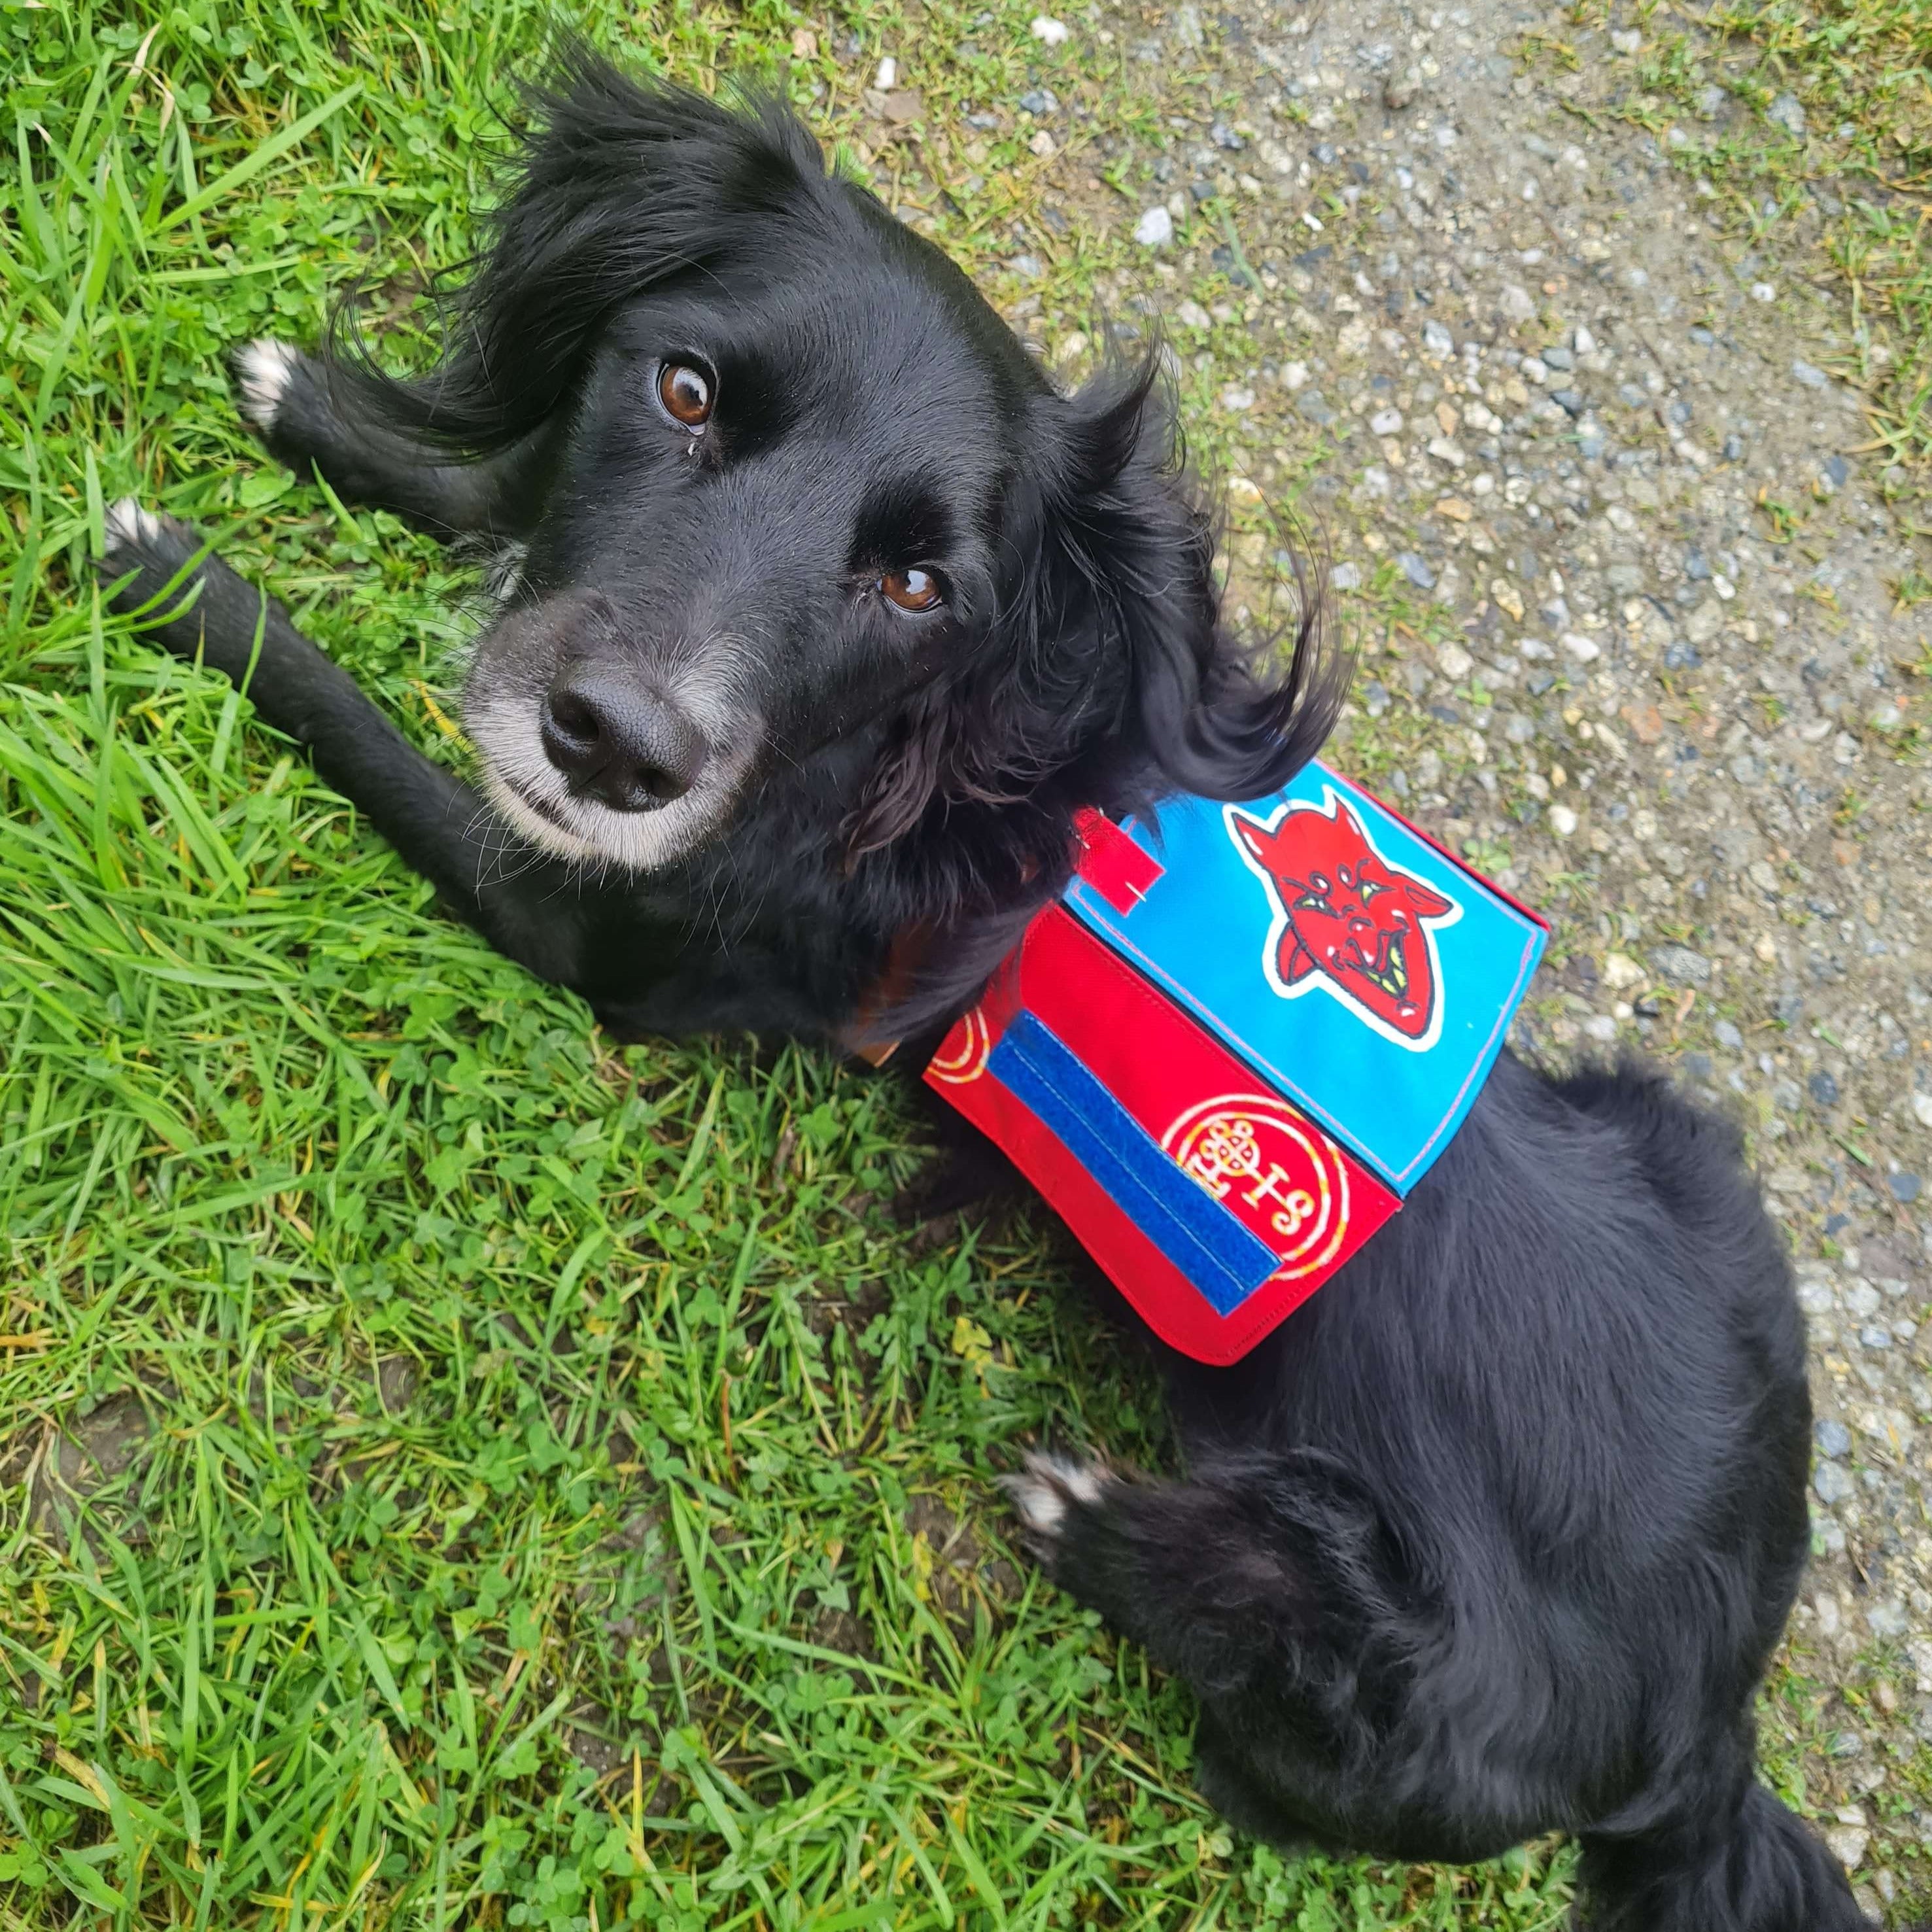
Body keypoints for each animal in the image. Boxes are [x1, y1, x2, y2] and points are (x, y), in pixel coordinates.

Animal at [105, 52, 1886, 1932]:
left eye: (915, 581)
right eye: (681, 389)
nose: (615, 748)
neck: (914, 746)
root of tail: (1715, 1725)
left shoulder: (587, 925)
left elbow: (352, 713)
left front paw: (180, 578)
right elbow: (512, 488)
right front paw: (320, 406)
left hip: (1373, 1661)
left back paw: (1077, 1511)